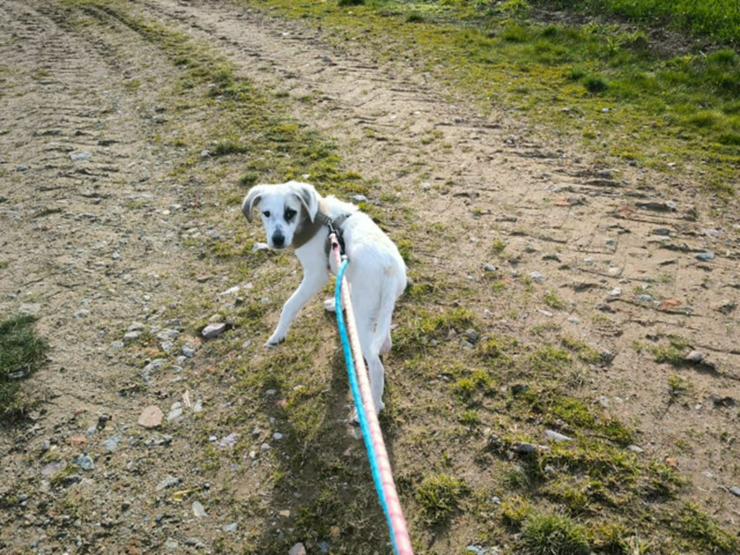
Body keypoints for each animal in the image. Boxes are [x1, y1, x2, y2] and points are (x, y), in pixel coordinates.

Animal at [241, 180, 404, 414]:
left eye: (290, 212)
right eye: (266, 213)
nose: (277, 240)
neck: (317, 218)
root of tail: (389, 269)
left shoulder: (315, 275)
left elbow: (289, 305)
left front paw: (277, 335)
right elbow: (344, 290)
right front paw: (336, 304)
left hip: (363, 316)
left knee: (376, 366)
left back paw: (373, 405)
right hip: (382, 307)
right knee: (383, 339)